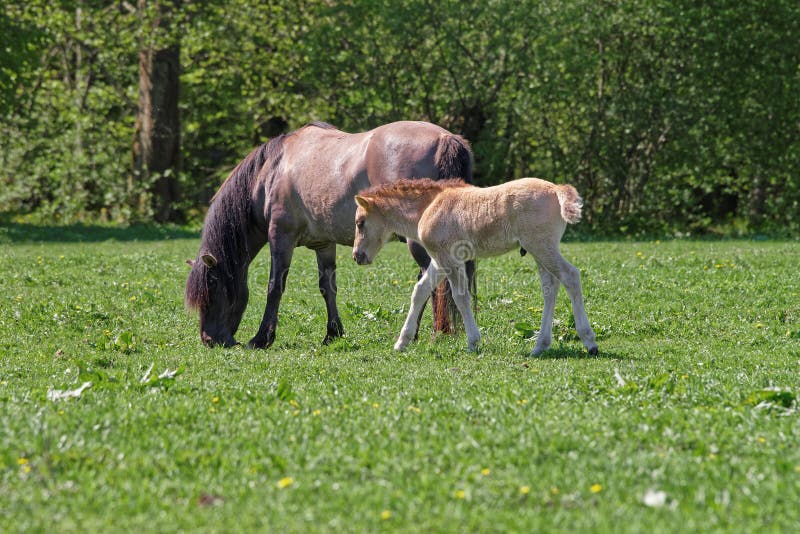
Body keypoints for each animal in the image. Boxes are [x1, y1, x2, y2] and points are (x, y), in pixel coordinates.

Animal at [186, 120, 476, 348]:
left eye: (213, 287)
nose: (209, 339)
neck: (271, 172)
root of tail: (444, 139)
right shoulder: (324, 244)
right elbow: (328, 287)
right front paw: (332, 334)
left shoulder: (281, 237)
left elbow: (275, 286)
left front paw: (262, 338)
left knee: (434, 281)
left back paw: (433, 333)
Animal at [354, 178, 596, 358]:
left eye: (360, 222)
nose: (357, 256)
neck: (429, 207)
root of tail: (557, 189)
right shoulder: (439, 259)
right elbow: (420, 291)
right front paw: (401, 342)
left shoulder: (449, 259)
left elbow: (460, 297)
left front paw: (473, 342)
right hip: (539, 250)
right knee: (550, 288)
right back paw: (539, 346)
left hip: (541, 246)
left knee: (570, 276)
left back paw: (589, 341)